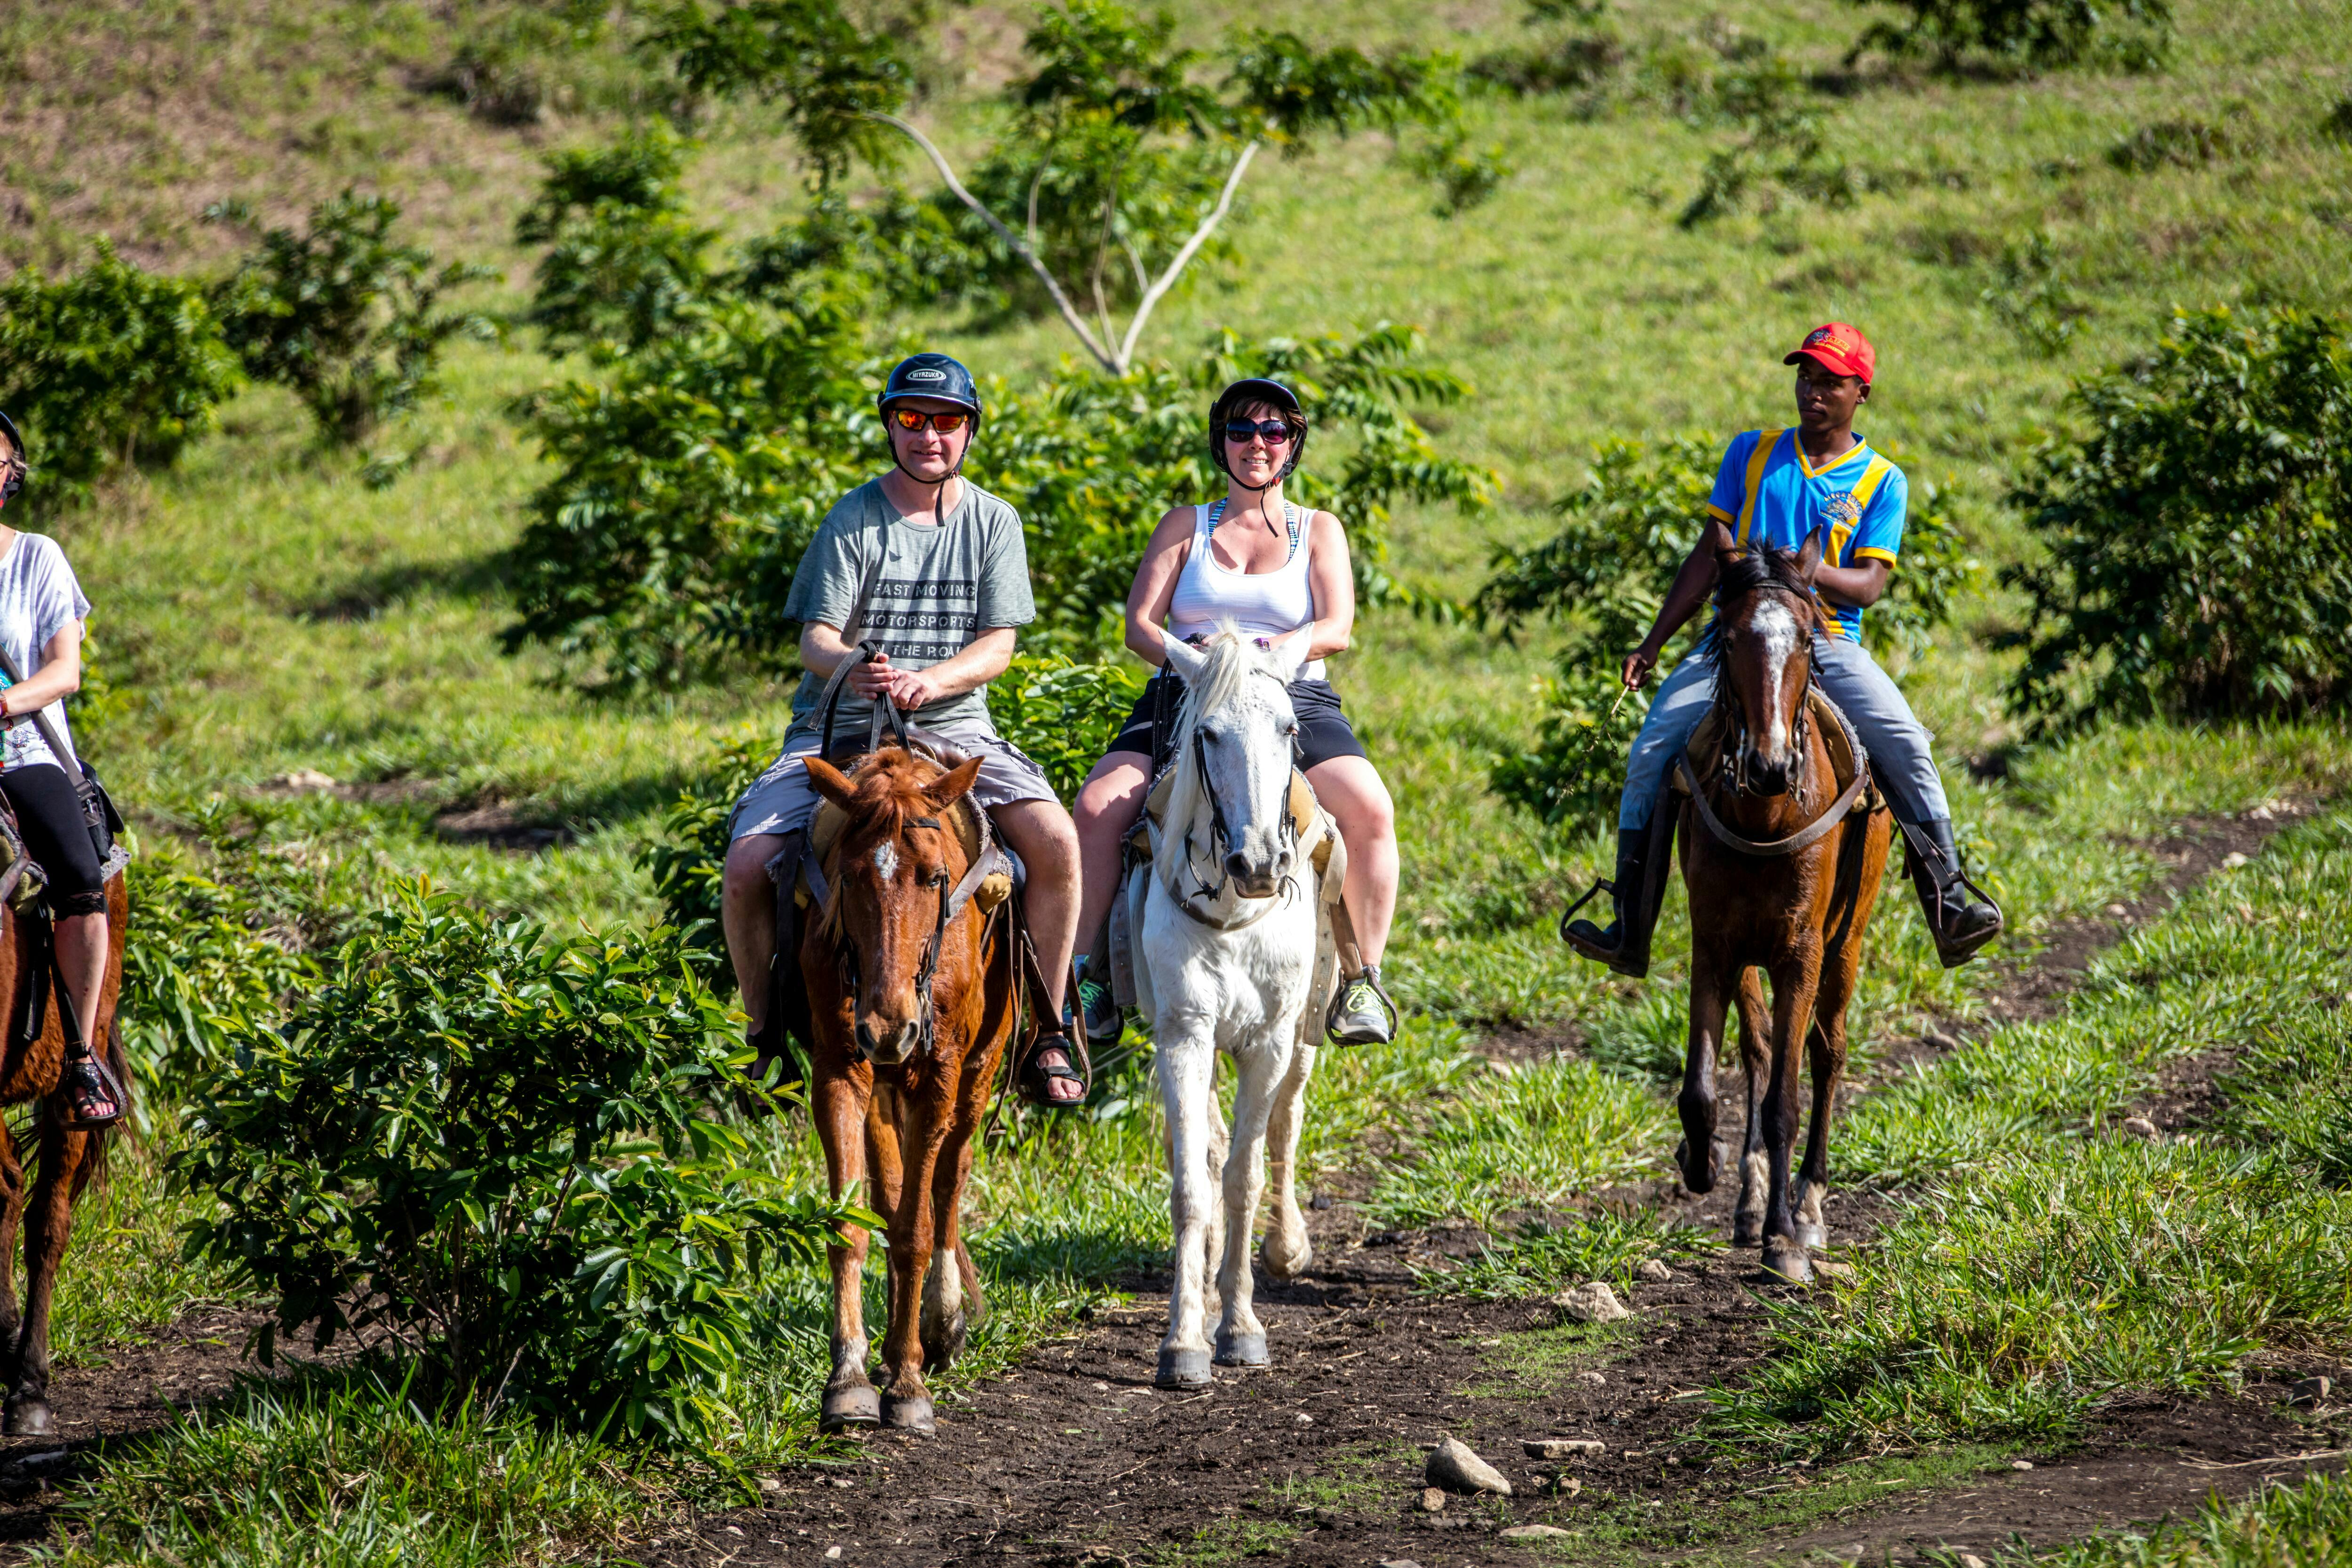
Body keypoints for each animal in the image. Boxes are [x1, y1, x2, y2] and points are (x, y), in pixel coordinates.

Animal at [795, 748, 1016, 1439]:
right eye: (849, 876)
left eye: (934, 877)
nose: (890, 1028)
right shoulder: (841, 1071)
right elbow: (852, 1225)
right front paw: (850, 1379)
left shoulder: (939, 1074)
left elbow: (918, 1229)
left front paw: (911, 1383)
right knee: (892, 1195)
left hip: (980, 1065)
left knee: (948, 1178)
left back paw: (939, 1323)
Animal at [1120, 625, 1345, 1382]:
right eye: (1208, 733)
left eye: (1289, 729)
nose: (1259, 865)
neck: (1232, 912)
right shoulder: (1185, 1036)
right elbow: (1195, 1181)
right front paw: (1186, 1339)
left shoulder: (1270, 1039)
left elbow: (1244, 1177)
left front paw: (1242, 1326)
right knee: (1215, 1144)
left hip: (1303, 1035)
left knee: (1284, 1125)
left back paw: (1285, 1248)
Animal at [1675, 531, 1891, 1288]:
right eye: (1729, 637)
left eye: (1803, 638)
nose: (1770, 766)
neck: (1766, 817)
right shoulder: (1713, 945)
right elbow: (1703, 1087)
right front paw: (1703, 1164)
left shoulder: (1801, 951)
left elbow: (1785, 1103)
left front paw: (1785, 1242)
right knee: (1762, 1048)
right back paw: (1750, 1197)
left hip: (1846, 943)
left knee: (1826, 1054)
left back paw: (1810, 1205)